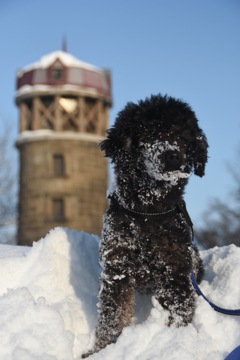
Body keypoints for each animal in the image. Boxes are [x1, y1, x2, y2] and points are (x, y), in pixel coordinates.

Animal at [82, 93, 208, 358]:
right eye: (151, 133)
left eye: (183, 137)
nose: (173, 156)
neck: (149, 212)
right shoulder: (117, 267)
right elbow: (113, 315)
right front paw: (102, 349)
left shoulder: (175, 270)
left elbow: (180, 309)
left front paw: (173, 340)